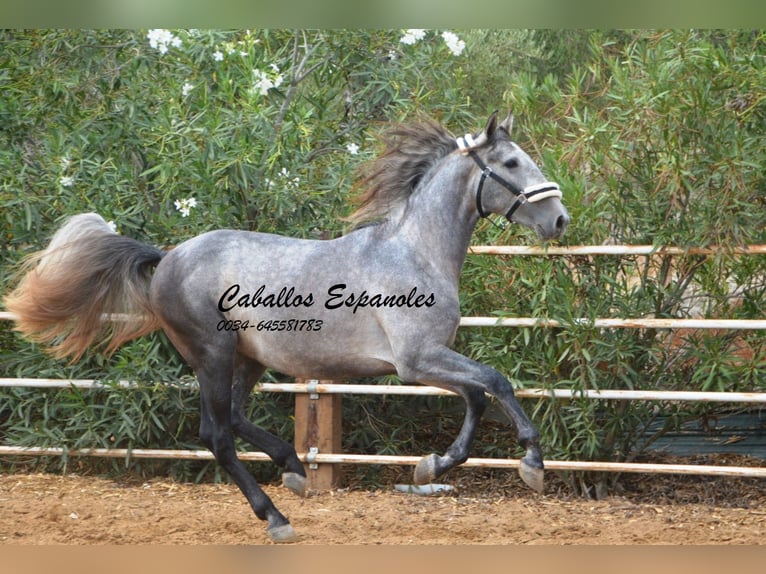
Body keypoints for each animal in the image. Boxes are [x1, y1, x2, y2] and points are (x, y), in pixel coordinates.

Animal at [3, 112, 568, 544]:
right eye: (512, 163)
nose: (559, 219)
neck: (414, 252)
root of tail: (167, 258)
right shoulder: (416, 361)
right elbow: (495, 382)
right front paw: (532, 464)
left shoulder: (430, 359)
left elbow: (476, 395)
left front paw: (431, 466)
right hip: (212, 354)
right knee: (217, 434)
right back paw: (277, 518)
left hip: (247, 359)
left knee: (232, 418)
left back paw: (294, 468)